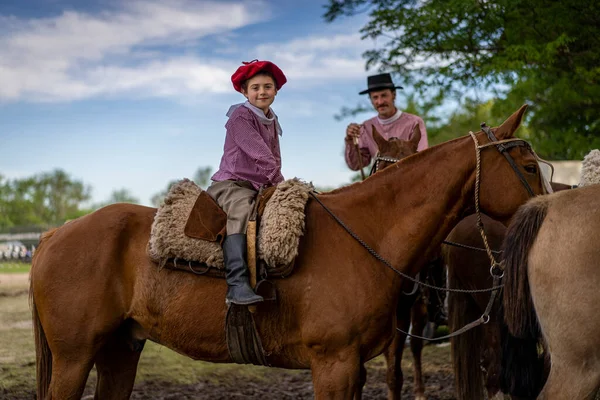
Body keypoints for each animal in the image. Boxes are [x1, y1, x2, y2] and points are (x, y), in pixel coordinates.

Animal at [28, 104, 544, 398]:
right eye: (526, 165)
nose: (548, 206)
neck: (368, 232)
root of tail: (55, 234)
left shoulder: (354, 365)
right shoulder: (333, 364)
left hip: (119, 349)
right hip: (74, 357)